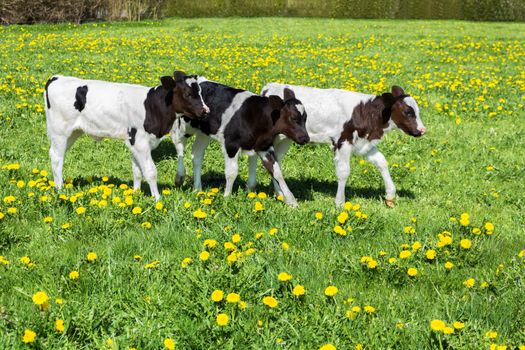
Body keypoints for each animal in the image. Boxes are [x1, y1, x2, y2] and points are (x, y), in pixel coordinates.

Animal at [44, 70, 209, 200]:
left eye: (200, 93)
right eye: (188, 94)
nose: (206, 111)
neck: (152, 105)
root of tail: (56, 77)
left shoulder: (135, 143)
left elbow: (137, 171)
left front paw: (135, 194)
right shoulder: (140, 141)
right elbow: (150, 171)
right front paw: (157, 199)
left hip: (73, 132)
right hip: (59, 131)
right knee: (56, 157)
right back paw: (60, 189)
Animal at [170, 78, 310, 206]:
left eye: (305, 118)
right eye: (293, 118)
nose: (305, 138)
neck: (259, 117)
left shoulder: (264, 147)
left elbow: (277, 172)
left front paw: (291, 201)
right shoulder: (231, 144)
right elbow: (232, 172)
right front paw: (227, 198)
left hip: (204, 132)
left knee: (197, 155)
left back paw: (197, 188)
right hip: (185, 125)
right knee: (177, 142)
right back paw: (179, 177)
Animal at [255, 83, 426, 206]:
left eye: (417, 111)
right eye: (408, 112)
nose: (422, 130)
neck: (365, 112)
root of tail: (268, 87)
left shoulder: (363, 144)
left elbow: (382, 162)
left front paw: (390, 195)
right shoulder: (342, 141)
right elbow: (344, 172)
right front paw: (340, 203)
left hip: (286, 139)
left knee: (276, 161)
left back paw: (280, 195)